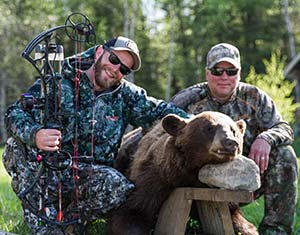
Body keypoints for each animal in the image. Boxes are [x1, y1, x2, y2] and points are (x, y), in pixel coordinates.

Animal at [109, 111, 258, 234]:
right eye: (209, 128)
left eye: (233, 130)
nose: (231, 143)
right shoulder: (154, 176)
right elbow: (135, 210)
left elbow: (236, 218)